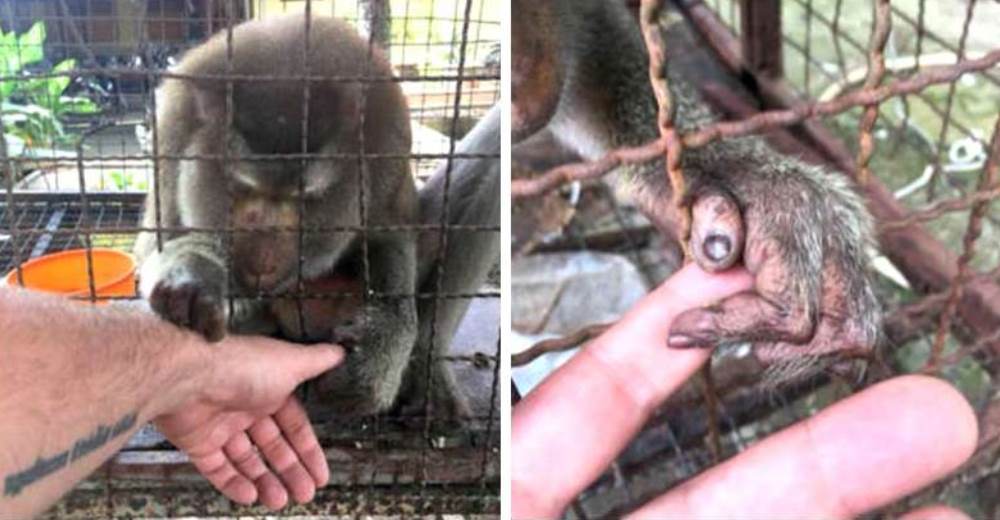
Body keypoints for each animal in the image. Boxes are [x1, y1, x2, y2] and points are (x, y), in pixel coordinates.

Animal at [134, 14, 418, 416]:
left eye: (305, 199)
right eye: (241, 189)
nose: (261, 264)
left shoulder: (387, 150)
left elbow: (390, 239)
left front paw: (380, 347)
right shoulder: (173, 132)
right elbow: (156, 243)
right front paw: (197, 268)